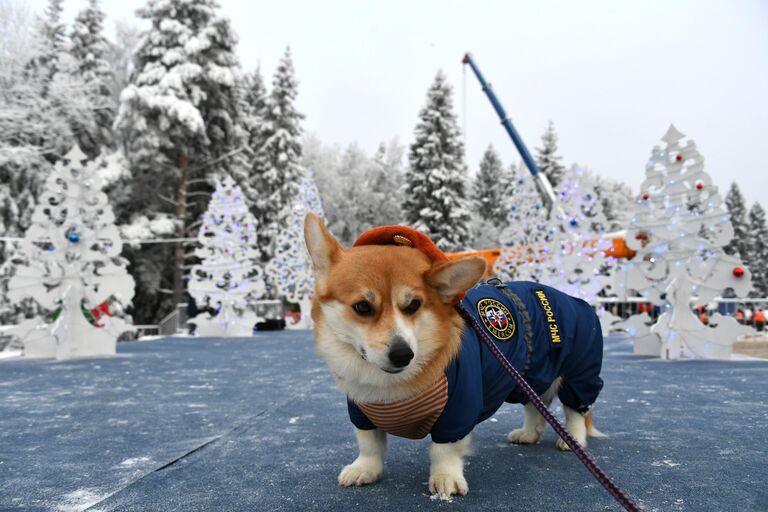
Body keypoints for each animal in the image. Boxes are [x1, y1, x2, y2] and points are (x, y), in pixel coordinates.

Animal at [304, 214, 604, 498]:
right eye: (362, 307)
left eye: (414, 305)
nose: (403, 355)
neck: (389, 387)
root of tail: (571, 298)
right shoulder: (361, 412)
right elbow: (369, 445)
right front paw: (364, 469)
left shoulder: (458, 408)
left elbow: (442, 450)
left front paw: (445, 478)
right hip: (527, 378)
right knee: (535, 406)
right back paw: (529, 434)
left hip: (578, 374)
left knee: (575, 411)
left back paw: (573, 440)